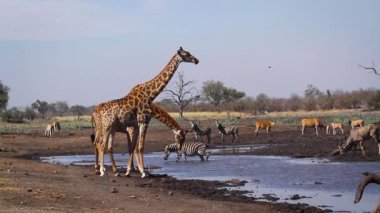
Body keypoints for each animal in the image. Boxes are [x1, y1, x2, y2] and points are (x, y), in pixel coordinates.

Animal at [93, 47, 199, 177]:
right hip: (107, 126)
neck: (150, 95)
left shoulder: (136, 125)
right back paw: (102, 170)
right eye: (186, 54)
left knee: (105, 145)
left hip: (111, 127)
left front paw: (130, 171)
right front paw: (143, 172)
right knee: (101, 144)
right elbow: (140, 147)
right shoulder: (143, 121)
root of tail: (95, 111)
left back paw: (111, 171)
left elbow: (133, 147)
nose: (196, 60)